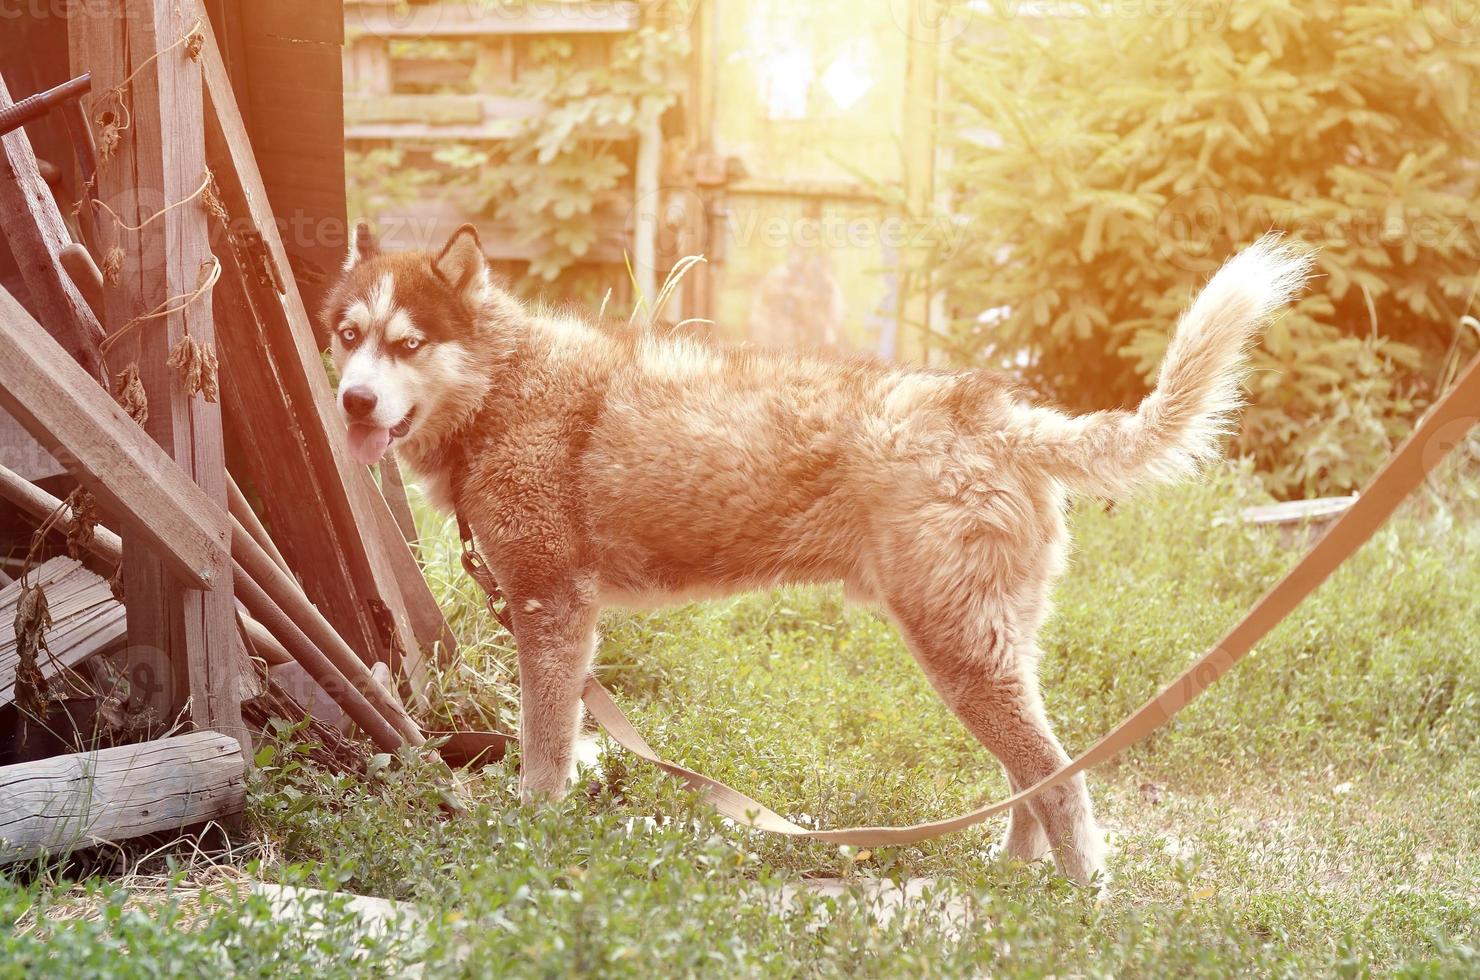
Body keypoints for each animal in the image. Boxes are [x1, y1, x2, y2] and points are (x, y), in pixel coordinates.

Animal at [321, 226, 1308, 888]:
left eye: (409, 343)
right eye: (347, 336)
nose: (354, 402)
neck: (508, 388)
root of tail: (994, 415)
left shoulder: (550, 612)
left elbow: (544, 753)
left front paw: (528, 832)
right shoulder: (557, 615)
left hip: (962, 657)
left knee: (1057, 784)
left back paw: (1075, 900)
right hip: (992, 654)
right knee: (1033, 778)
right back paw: (1013, 882)